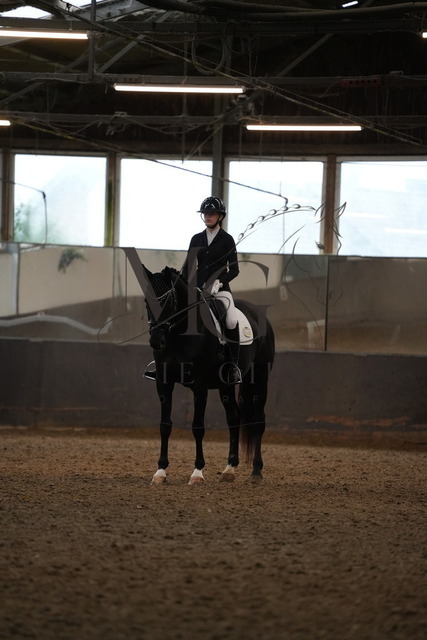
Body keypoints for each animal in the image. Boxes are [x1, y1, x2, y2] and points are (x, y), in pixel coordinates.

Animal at [141, 264, 275, 485]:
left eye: (168, 301)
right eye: (146, 301)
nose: (156, 341)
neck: (180, 335)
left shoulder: (200, 385)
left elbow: (198, 427)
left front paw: (197, 473)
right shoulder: (163, 383)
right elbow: (165, 425)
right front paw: (160, 472)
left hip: (260, 379)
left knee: (258, 420)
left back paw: (256, 471)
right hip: (226, 385)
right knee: (234, 417)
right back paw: (229, 469)